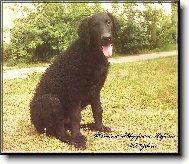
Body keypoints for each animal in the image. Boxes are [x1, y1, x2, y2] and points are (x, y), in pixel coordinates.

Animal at [29, 12, 118, 148]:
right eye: (94, 25)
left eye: (109, 22)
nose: (106, 38)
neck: (92, 55)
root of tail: (34, 124)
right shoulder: (74, 92)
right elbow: (76, 117)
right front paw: (77, 136)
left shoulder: (96, 90)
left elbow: (98, 110)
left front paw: (100, 127)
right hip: (51, 101)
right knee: (60, 132)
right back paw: (74, 140)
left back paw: (90, 126)